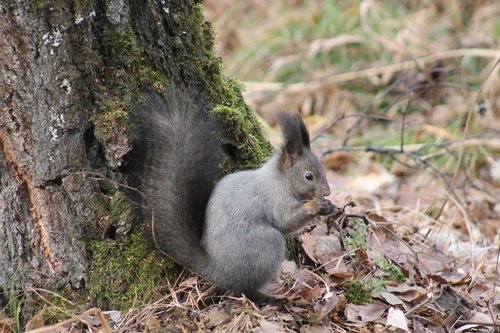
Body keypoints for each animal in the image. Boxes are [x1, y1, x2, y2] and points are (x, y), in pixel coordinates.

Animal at [129, 89, 334, 302]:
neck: (281, 180)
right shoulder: (276, 199)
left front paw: (328, 205)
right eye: (308, 176)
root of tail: (218, 271)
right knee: (245, 289)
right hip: (266, 245)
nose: (327, 192)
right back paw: (270, 298)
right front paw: (316, 206)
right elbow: (285, 220)